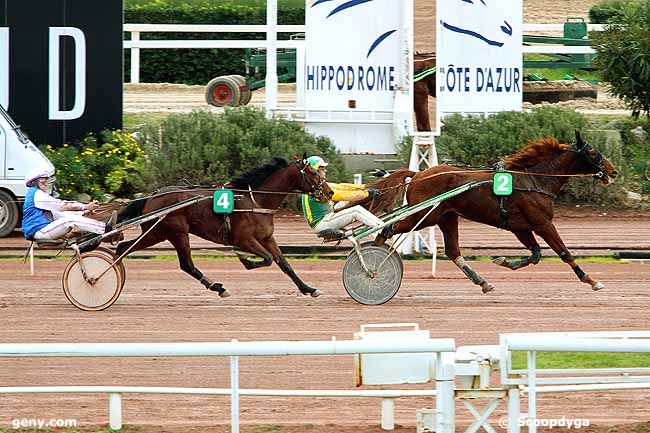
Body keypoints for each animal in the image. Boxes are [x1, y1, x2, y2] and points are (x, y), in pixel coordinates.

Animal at [113, 157, 332, 298]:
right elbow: (268, 259)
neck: (256, 200)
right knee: (185, 264)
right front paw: (246, 260)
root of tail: (152, 196)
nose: (329, 192)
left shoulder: (267, 237)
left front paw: (309, 289)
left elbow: (284, 264)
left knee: (124, 248)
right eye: (313, 172)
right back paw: (218, 287)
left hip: (159, 233)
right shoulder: (244, 239)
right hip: (172, 232)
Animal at [372, 132, 616, 294]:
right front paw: (591, 280)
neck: (535, 180)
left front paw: (503, 261)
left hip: (446, 217)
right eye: (593, 153)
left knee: (453, 251)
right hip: (424, 216)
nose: (613, 171)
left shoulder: (521, 227)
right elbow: (564, 253)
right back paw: (372, 264)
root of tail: (418, 174)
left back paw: (482, 282)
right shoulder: (543, 224)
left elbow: (536, 254)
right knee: (387, 228)